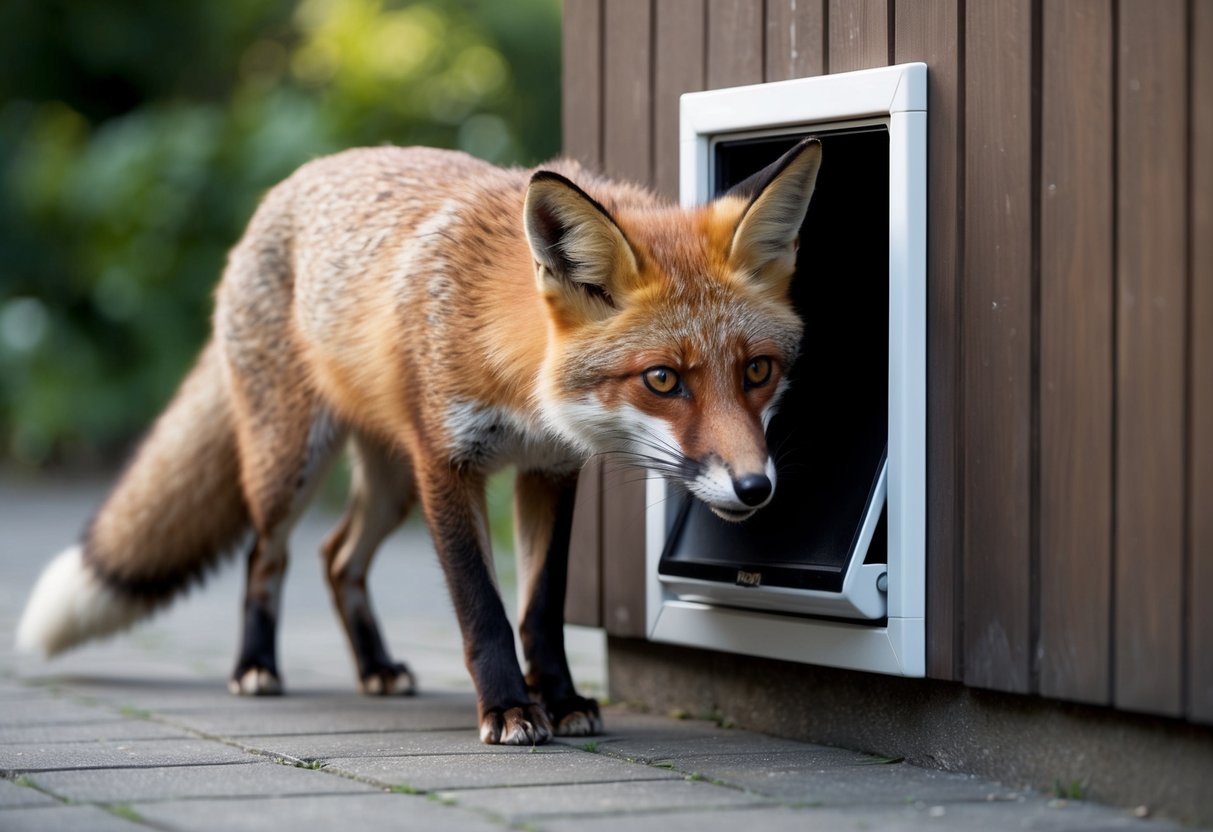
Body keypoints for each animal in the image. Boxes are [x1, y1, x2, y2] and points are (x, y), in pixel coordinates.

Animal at [16, 138, 820, 745]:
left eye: (757, 371)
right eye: (662, 379)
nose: (756, 488)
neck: (515, 377)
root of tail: (290, 185)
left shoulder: (549, 470)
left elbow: (540, 608)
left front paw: (559, 700)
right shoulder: (447, 464)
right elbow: (482, 607)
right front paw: (508, 709)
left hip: (391, 482)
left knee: (337, 557)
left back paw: (374, 669)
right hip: (293, 464)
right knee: (265, 555)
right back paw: (254, 667)